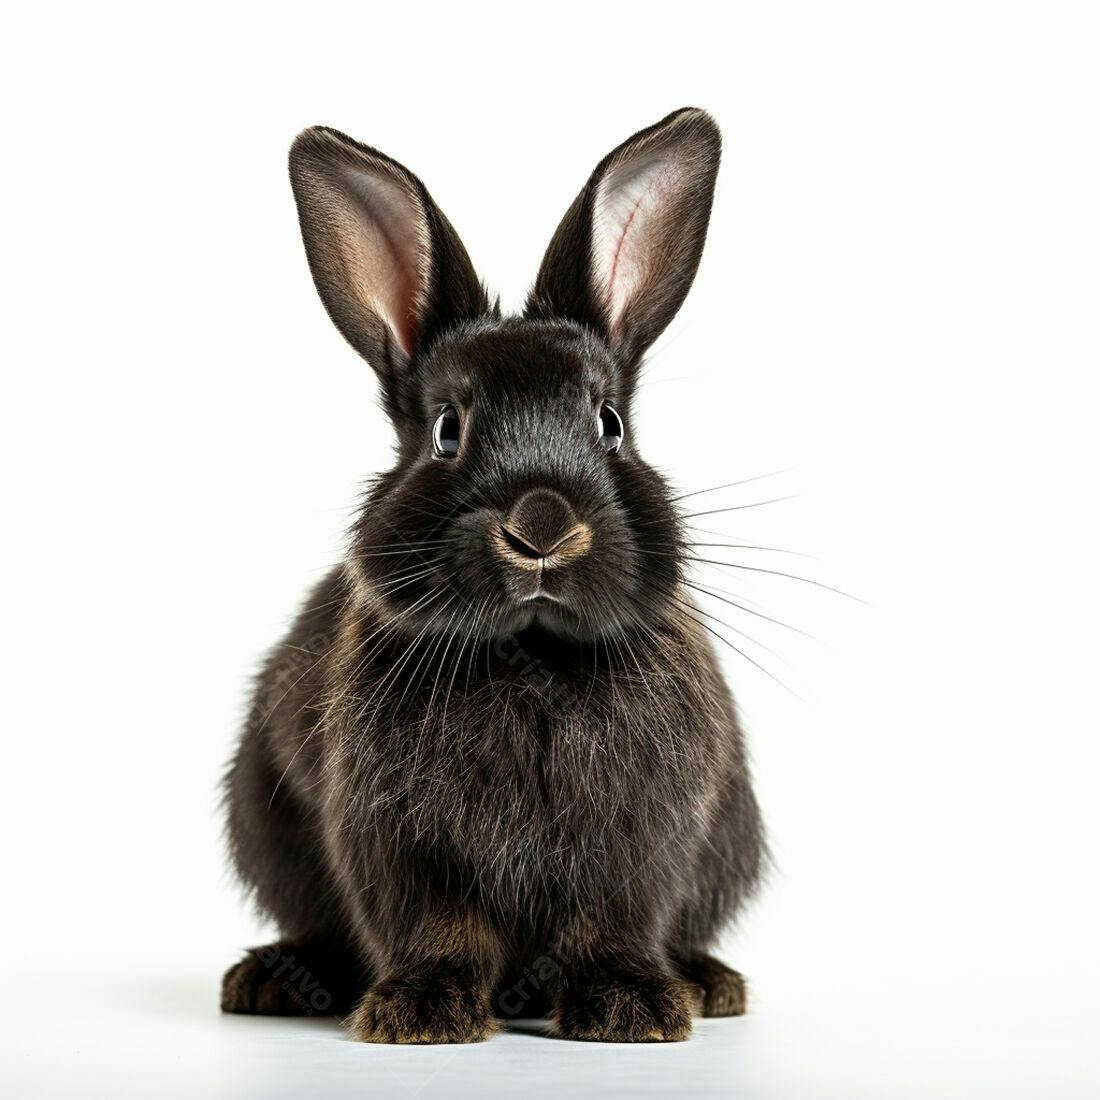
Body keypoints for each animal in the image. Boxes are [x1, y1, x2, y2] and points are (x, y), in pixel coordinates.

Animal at [221, 107, 766, 1044]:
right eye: (448, 430)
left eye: (610, 424)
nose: (542, 527)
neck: (531, 657)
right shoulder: (400, 842)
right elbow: (440, 927)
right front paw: (421, 1013)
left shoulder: (637, 844)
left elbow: (611, 923)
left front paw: (634, 1008)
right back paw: (274, 981)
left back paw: (707, 982)